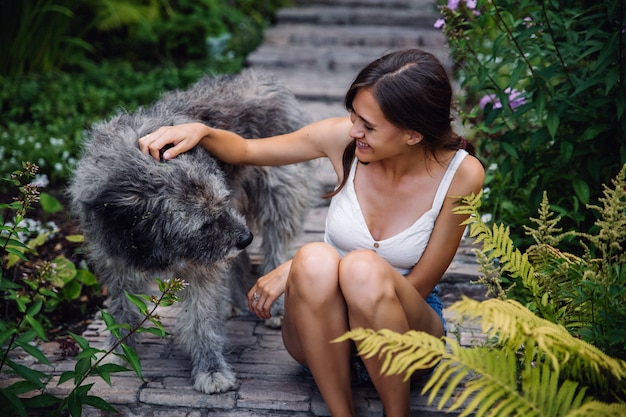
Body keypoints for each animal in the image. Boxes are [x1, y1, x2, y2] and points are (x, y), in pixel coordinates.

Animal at [67, 69, 314, 394]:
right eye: (203, 224)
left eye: (221, 201)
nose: (246, 238)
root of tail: (263, 79)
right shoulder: (116, 262)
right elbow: (122, 309)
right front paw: (117, 351)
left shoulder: (202, 268)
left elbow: (201, 321)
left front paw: (211, 369)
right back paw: (235, 299)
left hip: (278, 199)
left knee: (276, 251)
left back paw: (275, 307)